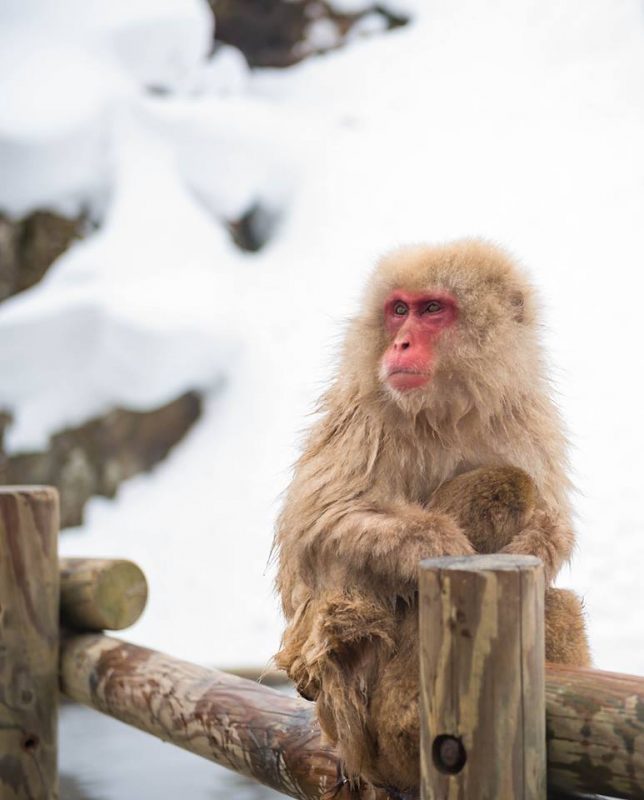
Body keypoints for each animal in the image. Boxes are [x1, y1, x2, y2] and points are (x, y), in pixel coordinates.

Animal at [272, 241, 588, 796]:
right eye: (400, 309)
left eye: (432, 309)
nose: (399, 342)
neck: (448, 409)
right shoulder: (366, 416)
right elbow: (322, 526)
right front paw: (438, 543)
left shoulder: (525, 415)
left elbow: (554, 521)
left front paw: (537, 542)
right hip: (363, 731)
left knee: (553, 596)